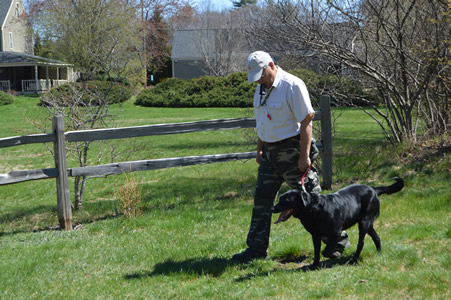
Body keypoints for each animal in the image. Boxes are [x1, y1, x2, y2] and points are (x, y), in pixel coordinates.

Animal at [274, 177, 404, 268]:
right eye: (279, 199)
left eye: (285, 200)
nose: (272, 208)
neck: (315, 209)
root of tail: (373, 189)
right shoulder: (315, 236)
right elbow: (317, 253)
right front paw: (315, 266)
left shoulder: (336, 233)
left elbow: (326, 250)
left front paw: (333, 254)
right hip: (367, 224)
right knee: (376, 237)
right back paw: (379, 253)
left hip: (364, 223)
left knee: (361, 243)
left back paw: (353, 260)